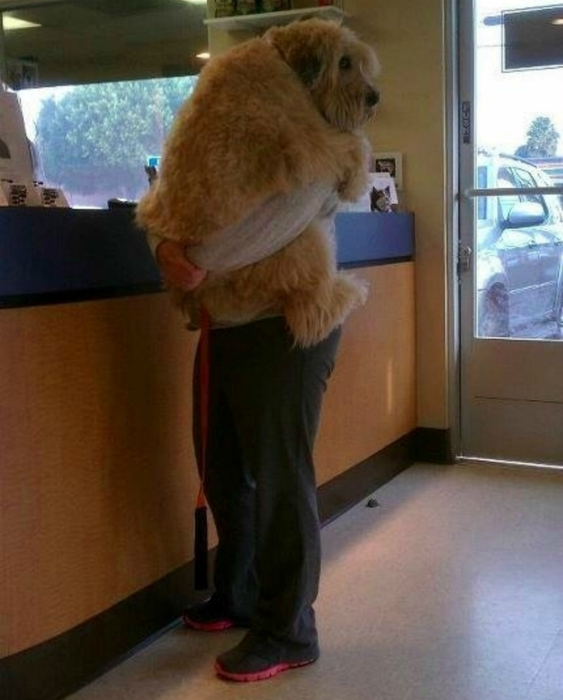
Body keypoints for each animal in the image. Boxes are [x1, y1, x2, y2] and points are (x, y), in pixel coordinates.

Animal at [136, 18, 380, 346]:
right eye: (344, 63)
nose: (374, 97)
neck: (284, 60)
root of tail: (196, 299)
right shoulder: (310, 139)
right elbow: (351, 143)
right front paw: (356, 178)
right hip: (301, 242)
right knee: (309, 312)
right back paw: (344, 295)